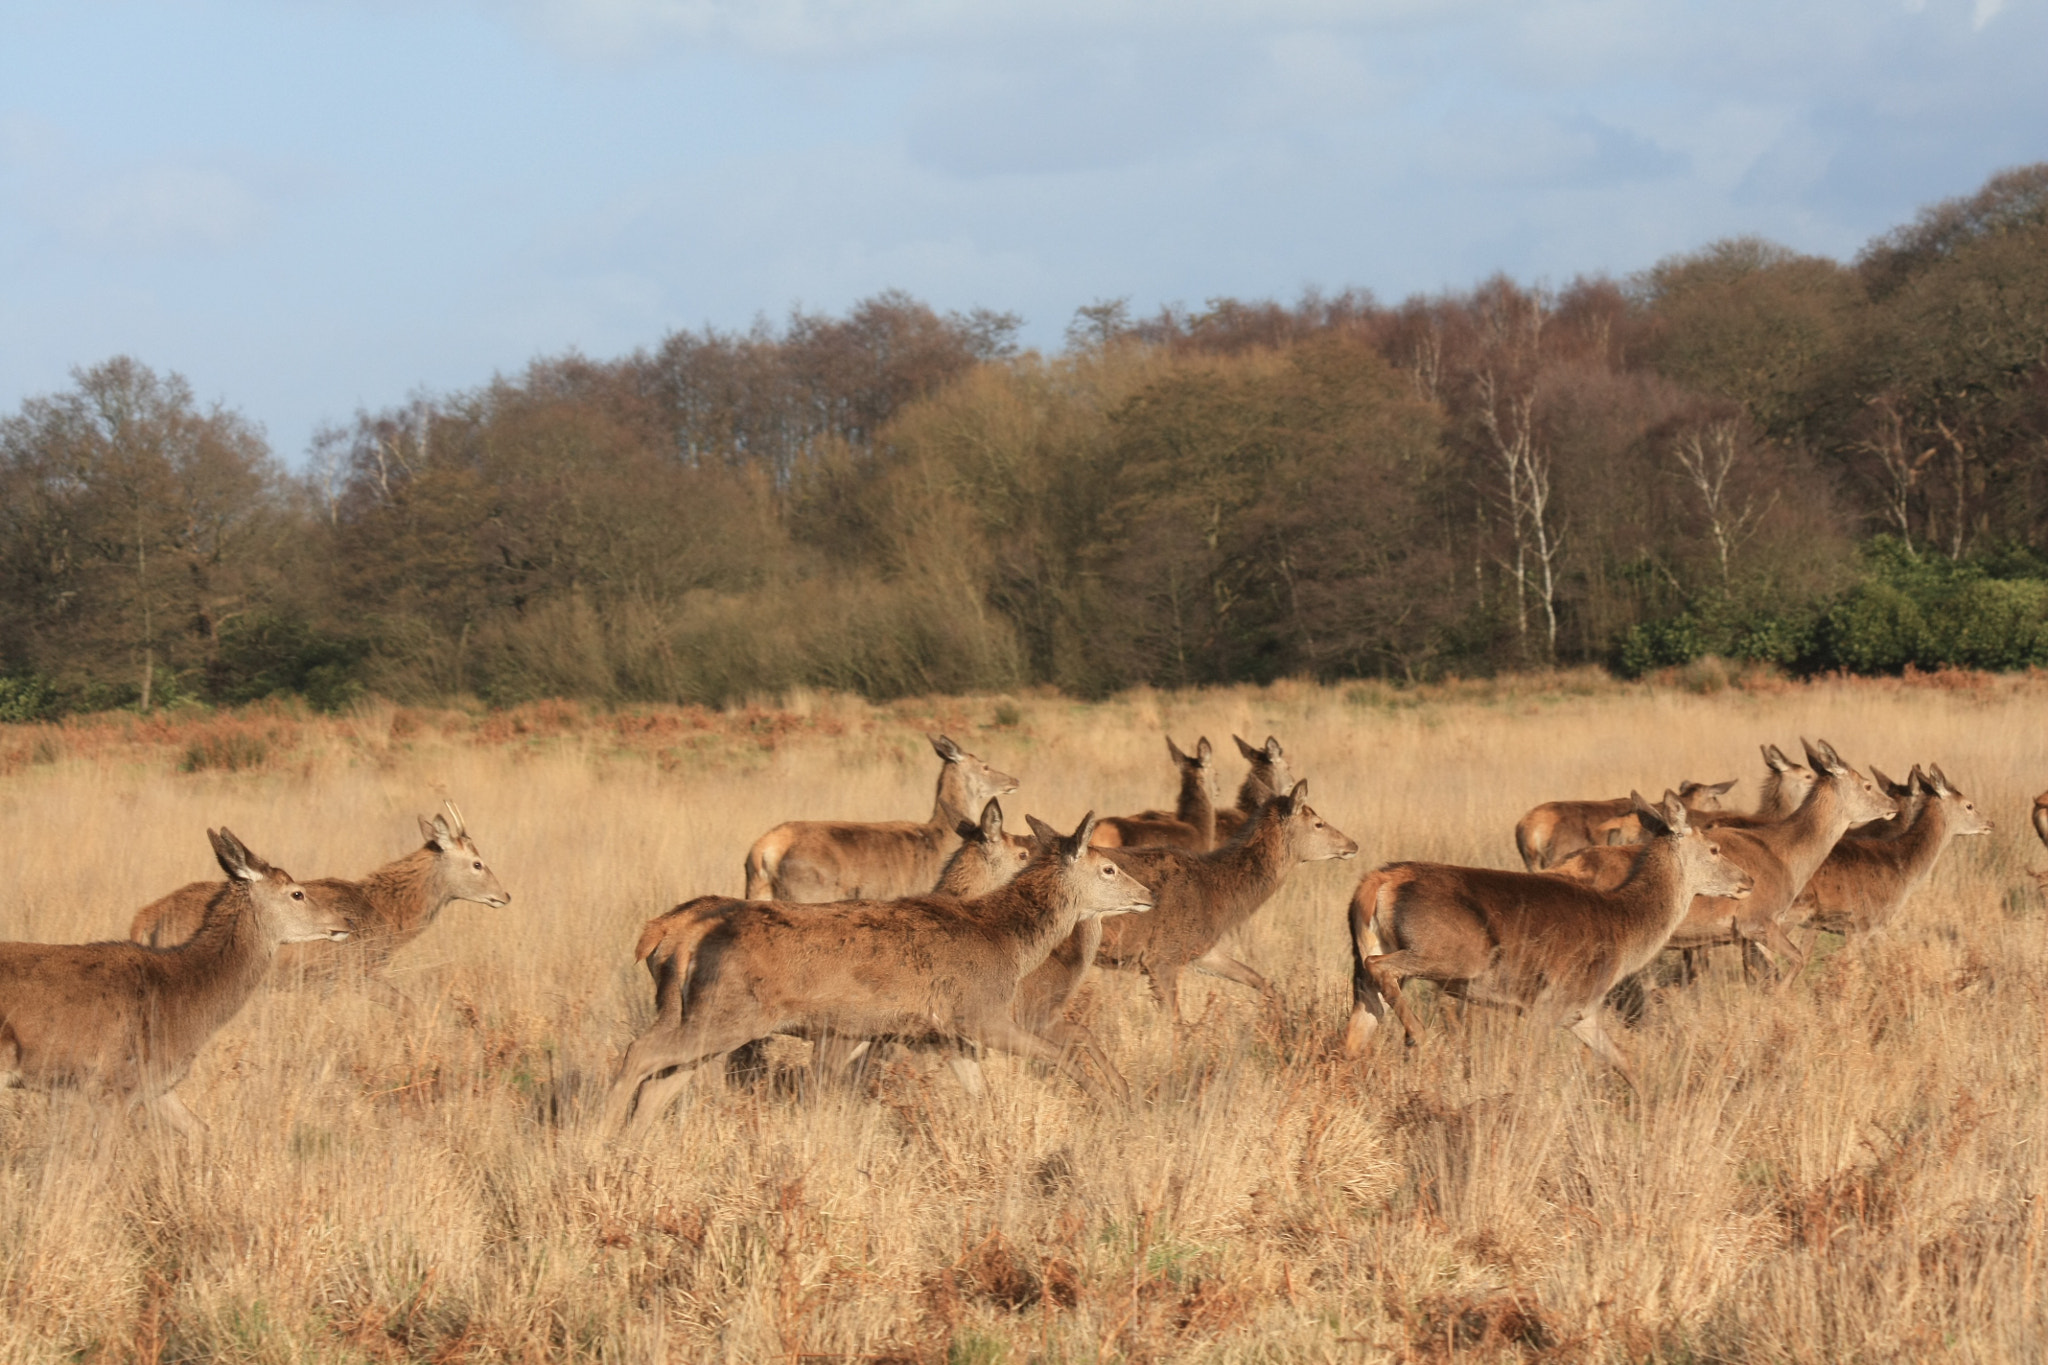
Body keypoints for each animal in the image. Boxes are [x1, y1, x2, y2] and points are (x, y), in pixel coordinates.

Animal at [0, 829, 350, 1151]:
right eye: (297, 893)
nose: (345, 921)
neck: (182, 1003)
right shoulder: (112, 1084)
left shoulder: (156, 1084)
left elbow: (200, 1129)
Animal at [604, 811, 1154, 1137]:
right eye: (1108, 869)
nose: (1148, 893)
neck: (1009, 944)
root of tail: (663, 934)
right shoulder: (978, 1013)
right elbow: (1061, 1055)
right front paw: (1111, 1105)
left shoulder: (944, 1035)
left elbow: (983, 1094)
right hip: (728, 1014)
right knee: (639, 1054)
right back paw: (598, 1134)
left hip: (698, 1015)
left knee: (660, 1080)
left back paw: (630, 1143)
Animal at [1344, 792, 1753, 1091]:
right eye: (1714, 849)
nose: (1747, 880)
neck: (1625, 931)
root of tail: (1376, 882)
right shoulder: (1551, 1001)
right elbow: (1530, 1067)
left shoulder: (1581, 1010)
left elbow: (1624, 1061)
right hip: (1456, 952)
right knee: (1382, 970)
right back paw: (1417, 1035)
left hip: (1374, 960)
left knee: (1356, 1029)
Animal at [1546, 739, 1896, 987]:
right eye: (1867, 784)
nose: (1892, 804)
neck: (1786, 857)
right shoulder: (1757, 919)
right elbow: (1790, 965)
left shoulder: (1745, 934)